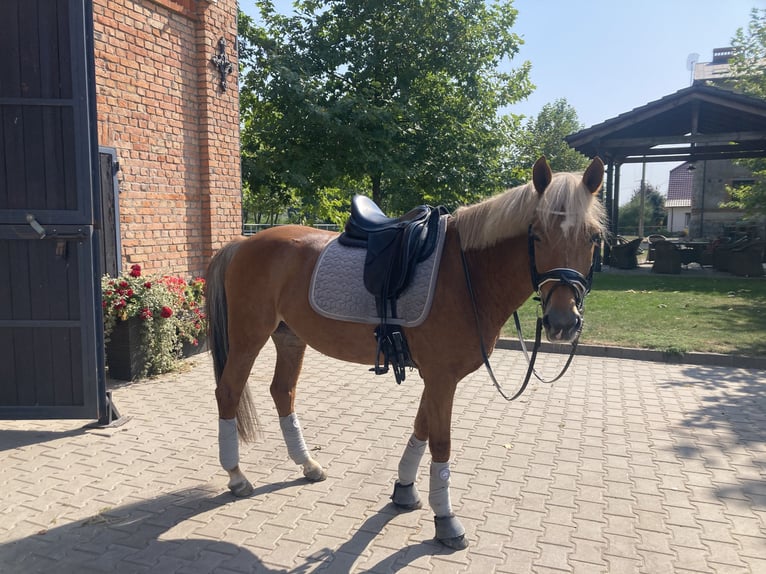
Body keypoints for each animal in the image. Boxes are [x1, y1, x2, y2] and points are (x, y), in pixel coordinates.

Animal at [204, 156, 608, 548]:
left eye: (593, 237)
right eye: (536, 234)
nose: (562, 322)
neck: (467, 272)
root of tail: (241, 243)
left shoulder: (437, 376)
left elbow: (421, 428)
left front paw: (404, 490)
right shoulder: (442, 377)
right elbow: (441, 443)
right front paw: (446, 520)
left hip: (290, 338)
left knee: (282, 392)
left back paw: (308, 465)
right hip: (249, 337)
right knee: (228, 392)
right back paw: (236, 476)